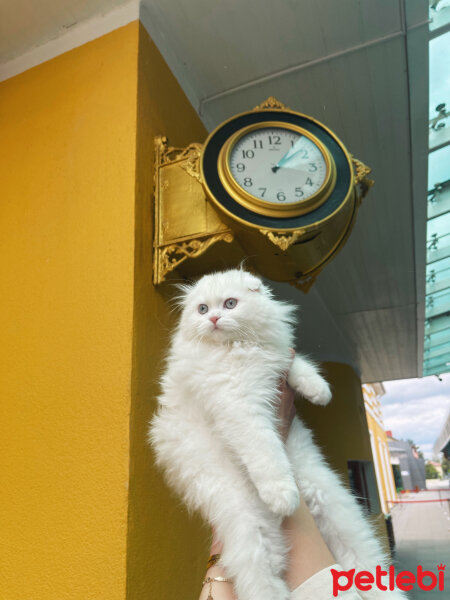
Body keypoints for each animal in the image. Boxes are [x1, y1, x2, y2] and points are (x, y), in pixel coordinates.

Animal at [150, 270, 408, 596]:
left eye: (230, 303)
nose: (214, 319)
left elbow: (299, 365)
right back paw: (284, 504)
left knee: (362, 562)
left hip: (333, 507)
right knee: (261, 578)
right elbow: (265, 453)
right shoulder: (239, 407)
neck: (236, 348)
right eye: (202, 309)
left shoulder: (276, 360)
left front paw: (320, 392)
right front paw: (281, 494)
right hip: (247, 518)